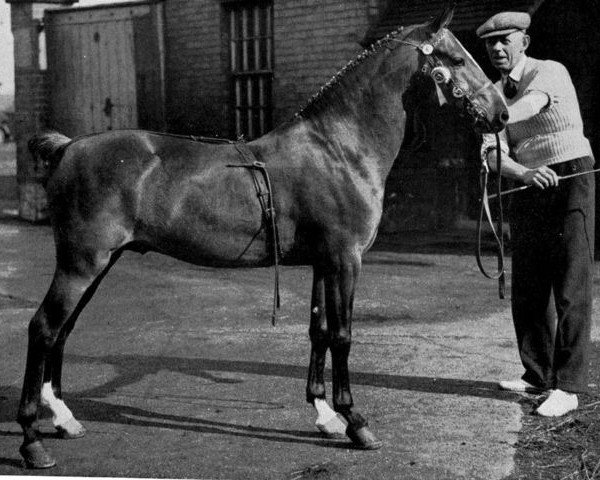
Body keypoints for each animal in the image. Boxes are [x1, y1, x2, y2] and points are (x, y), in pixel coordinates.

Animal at [17, 5, 506, 466]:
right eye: (456, 59)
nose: (500, 114)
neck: (339, 148)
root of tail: (67, 148)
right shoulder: (346, 260)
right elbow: (343, 335)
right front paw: (356, 422)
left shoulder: (323, 262)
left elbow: (319, 330)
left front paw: (325, 415)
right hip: (82, 263)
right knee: (43, 327)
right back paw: (31, 440)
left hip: (99, 263)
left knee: (63, 329)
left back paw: (63, 418)